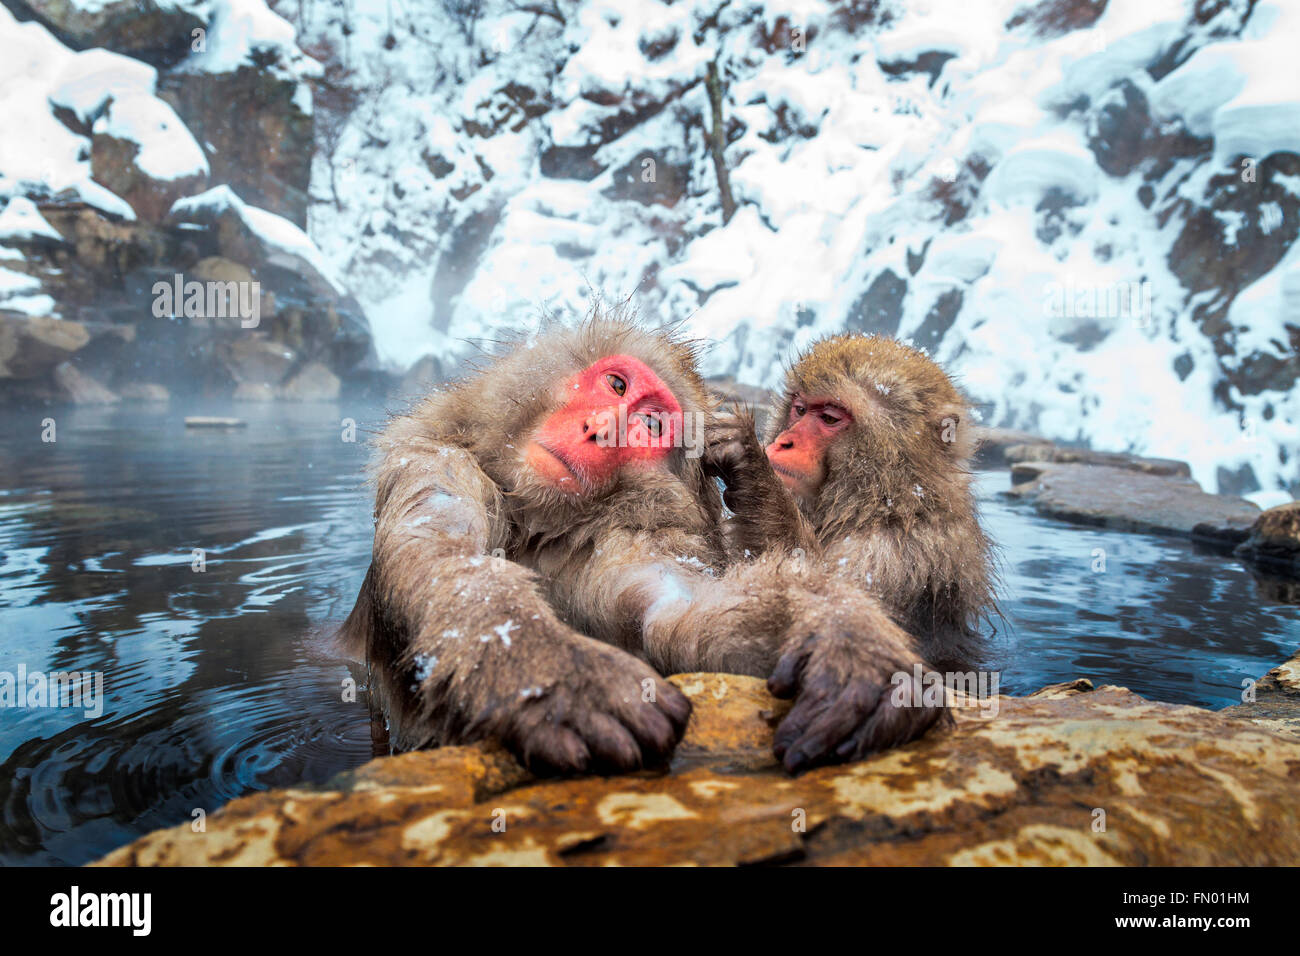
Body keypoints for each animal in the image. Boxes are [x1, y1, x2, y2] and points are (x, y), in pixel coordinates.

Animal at [341, 309, 948, 776]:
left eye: (651, 427)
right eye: (616, 385)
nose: (599, 430)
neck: (532, 520)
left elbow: (674, 607)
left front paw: (837, 629)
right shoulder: (436, 464)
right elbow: (452, 564)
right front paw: (556, 676)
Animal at [705, 333, 997, 673]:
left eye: (830, 418)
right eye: (800, 409)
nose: (783, 442)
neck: (884, 503)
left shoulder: (896, 555)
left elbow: (835, 600)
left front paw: (751, 467)